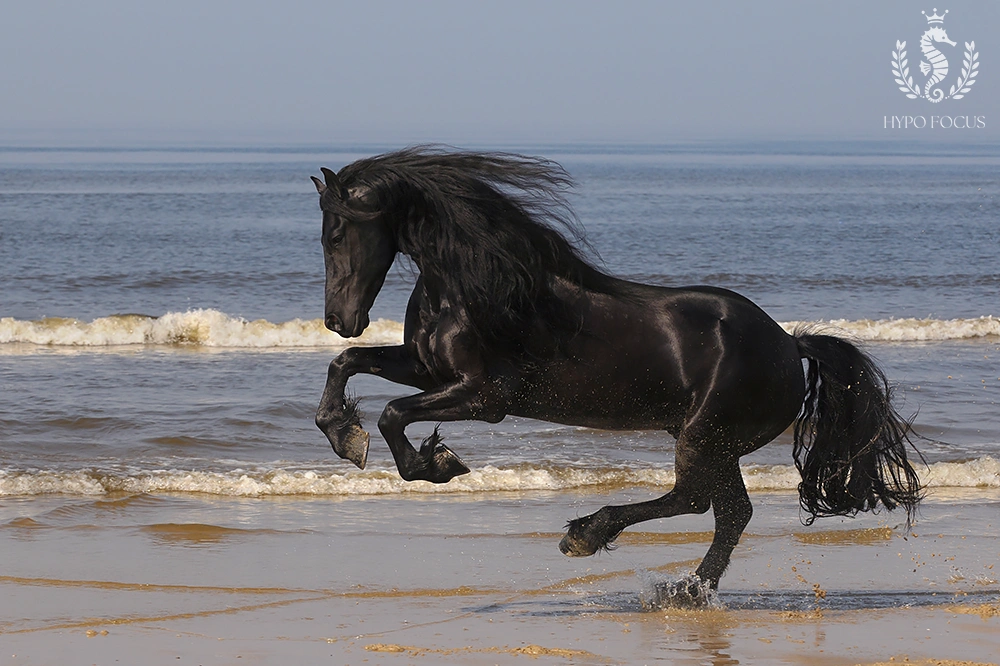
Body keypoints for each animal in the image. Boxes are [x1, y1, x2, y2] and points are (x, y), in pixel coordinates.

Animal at [306, 148, 920, 592]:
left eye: (336, 234)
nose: (339, 319)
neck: (473, 289)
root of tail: (790, 347)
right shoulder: (427, 371)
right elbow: (348, 366)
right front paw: (343, 434)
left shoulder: (485, 397)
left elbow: (392, 413)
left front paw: (434, 463)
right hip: (709, 439)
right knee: (730, 513)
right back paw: (687, 591)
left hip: (704, 435)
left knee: (694, 500)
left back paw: (588, 535)